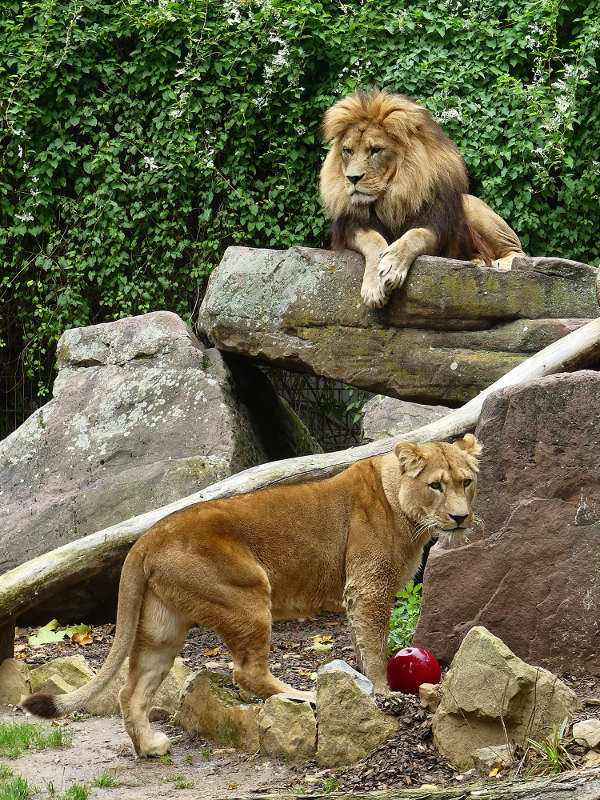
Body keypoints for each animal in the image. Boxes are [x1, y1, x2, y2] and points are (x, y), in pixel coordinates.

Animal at [23, 434, 480, 760]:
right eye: (436, 486)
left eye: (467, 482)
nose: (461, 517)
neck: (406, 510)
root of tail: (146, 537)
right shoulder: (368, 587)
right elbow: (373, 642)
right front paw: (383, 694)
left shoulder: (357, 592)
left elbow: (357, 640)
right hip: (248, 597)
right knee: (248, 674)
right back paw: (304, 695)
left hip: (161, 625)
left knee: (130, 692)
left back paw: (150, 748)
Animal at [318, 90, 524, 308]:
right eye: (348, 151)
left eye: (375, 150)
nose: (352, 178)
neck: (391, 198)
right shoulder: (350, 226)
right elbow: (374, 240)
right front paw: (374, 286)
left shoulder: (438, 226)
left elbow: (414, 236)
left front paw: (391, 266)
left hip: (475, 210)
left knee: (518, 251)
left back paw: (502, 262)